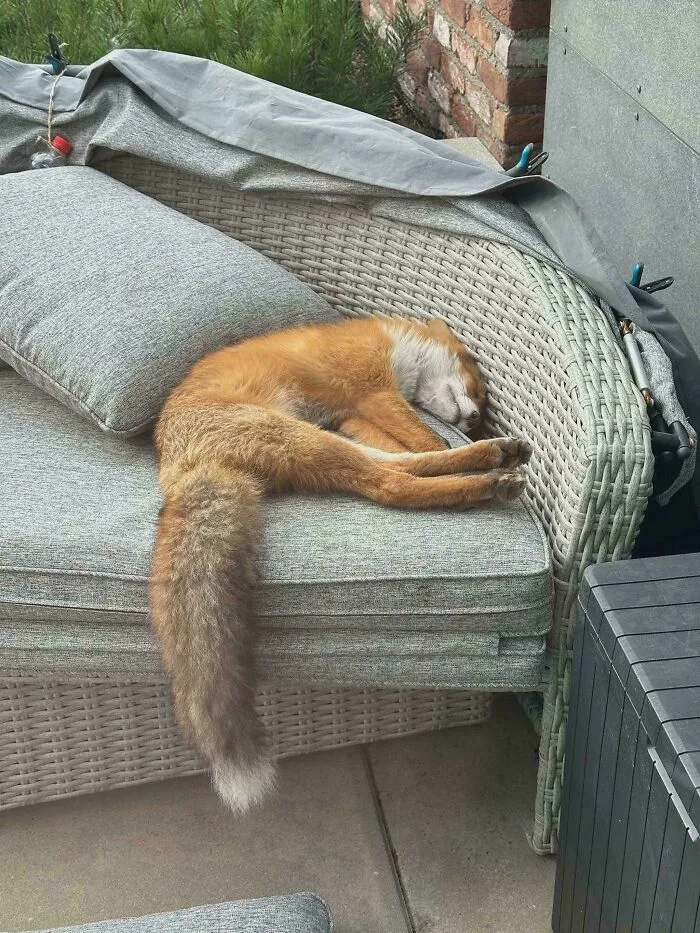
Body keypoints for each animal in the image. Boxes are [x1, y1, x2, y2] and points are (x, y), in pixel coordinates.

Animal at [149, 315, 532, 813]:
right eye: (480, 389)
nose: (473, 422)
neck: (397, 349)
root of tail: (179, 470)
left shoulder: (353, 415)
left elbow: (415, 447)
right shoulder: (372, 390)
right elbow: (425, 438)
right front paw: (467, 446)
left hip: (320, 440)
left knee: (397, 467)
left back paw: (492, 460)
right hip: (305, 437)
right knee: (390, 484)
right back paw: (488, 469)